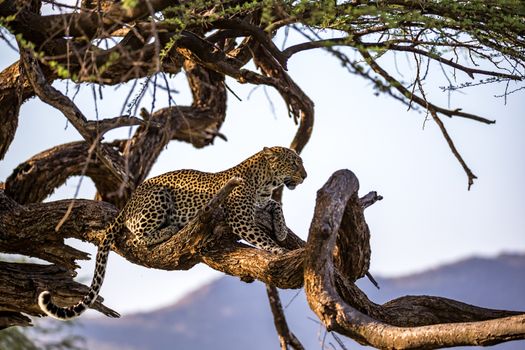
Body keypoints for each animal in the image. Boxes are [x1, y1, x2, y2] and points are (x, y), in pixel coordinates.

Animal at [39, 145, 308, 320]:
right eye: (294, 163)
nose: (305, 176)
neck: (264, 182)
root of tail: (129, 200)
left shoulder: (262, 204)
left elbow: (276, 205)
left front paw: (281, 230)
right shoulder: (240, 220)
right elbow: (262, 238)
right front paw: (279, 249)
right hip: (158, 197)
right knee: (139, 236)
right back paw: (170, 228)